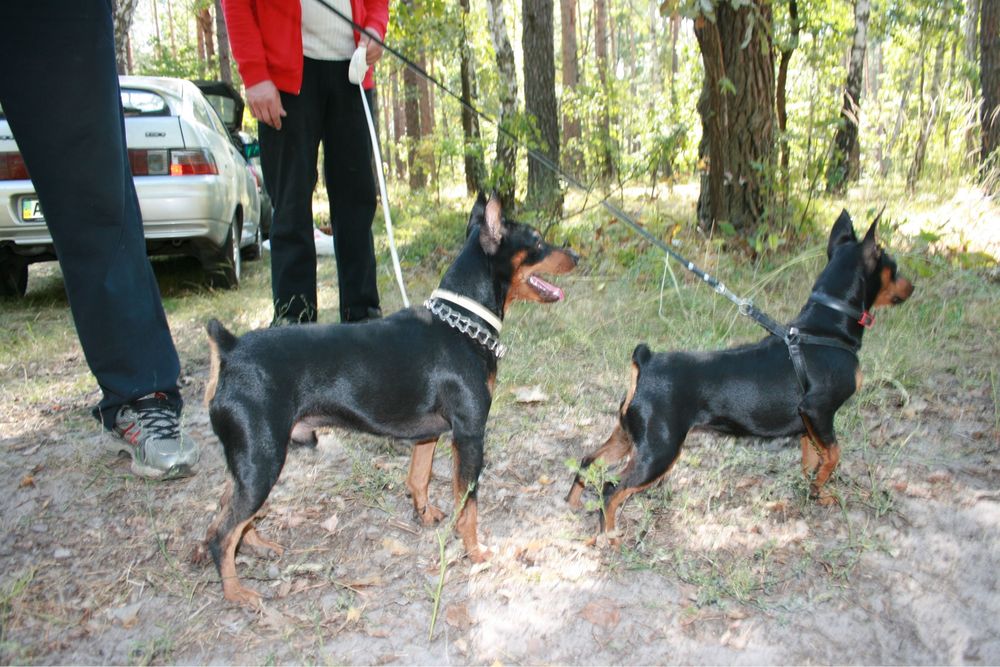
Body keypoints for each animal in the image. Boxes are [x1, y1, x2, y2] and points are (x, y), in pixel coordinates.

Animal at [203, 194, 576, 604]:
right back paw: (236, 592)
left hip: (249, 460)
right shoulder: (470, 435)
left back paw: (257, 546)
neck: (461, 321)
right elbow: (469, 504)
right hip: (263, 458)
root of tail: (230, 349)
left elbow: (419, 478)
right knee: (221, 533)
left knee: (227, 509)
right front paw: (475, 551)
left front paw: (425, 515)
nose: (576, 255)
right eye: (537, 240)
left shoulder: (429, 435)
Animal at [572, 210, 916, 544]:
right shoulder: (818, 410)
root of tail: (646, 361)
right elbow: (833, 455)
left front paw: (814, 493)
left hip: (627, 436)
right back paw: (610, 537)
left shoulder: (809, 425)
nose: (912, 287)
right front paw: (820, 484)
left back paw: (573, 506)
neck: (825, 329)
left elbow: (811, 459)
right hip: (659, 451)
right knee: (611, 490)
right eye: (894, 267)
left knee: (588, 461)